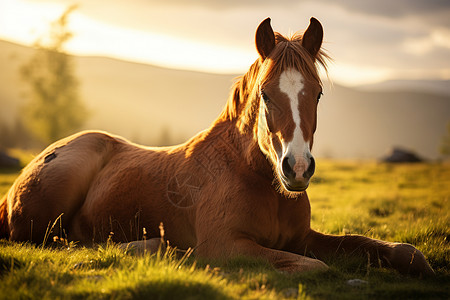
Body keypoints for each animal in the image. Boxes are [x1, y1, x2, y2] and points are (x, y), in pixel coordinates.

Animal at [0, 17, 436, 276]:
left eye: (318, 93)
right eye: (265, 94)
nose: (297, 168)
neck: (255, 178)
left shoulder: (303, 238)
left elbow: (395, 249)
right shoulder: (227, 245)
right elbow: (317, 268)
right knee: (52, 243)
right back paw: (154, 247)